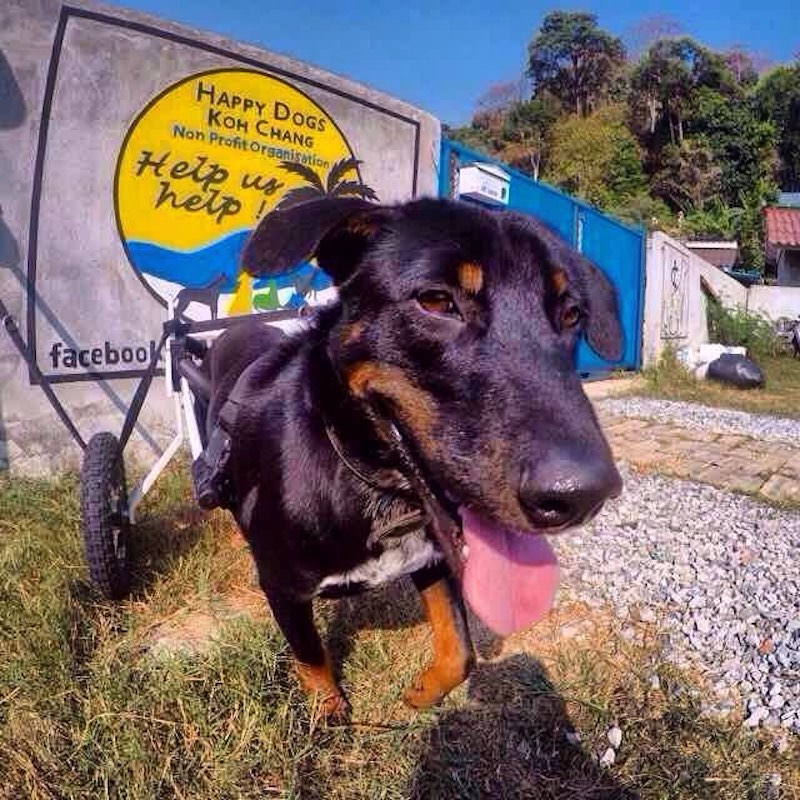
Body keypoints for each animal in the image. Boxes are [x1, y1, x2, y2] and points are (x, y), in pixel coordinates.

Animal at [202, 198, 624, 720]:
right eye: (437, 301)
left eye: (571, 314)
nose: (583, 495)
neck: (375, 484)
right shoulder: (283, 587)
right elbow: (313, 661)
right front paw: (329, 716)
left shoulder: (434, 560)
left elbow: (460, 651)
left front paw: (422, 692)